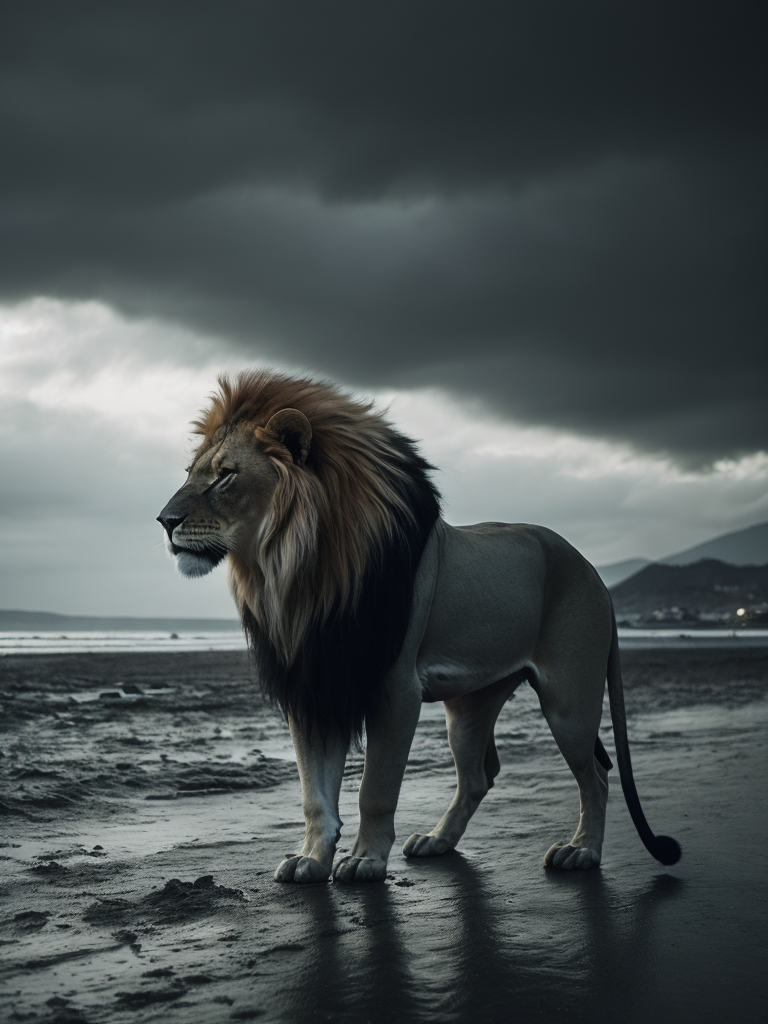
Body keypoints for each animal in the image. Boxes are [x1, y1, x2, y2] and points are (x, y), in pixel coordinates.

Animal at [157, 370, 680, 883]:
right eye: (190, 474)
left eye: (225, 475)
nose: (164, 521)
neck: (295, 568)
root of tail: (593, 572)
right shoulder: (314, 685)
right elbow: (314, 793)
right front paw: (311, 859)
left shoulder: (396, 688)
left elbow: (375, 788)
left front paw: (365, 860)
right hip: (469, 707)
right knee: (478, 777)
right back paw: (437, 841)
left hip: (569, 700)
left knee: (596, 776)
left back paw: (582, 850)